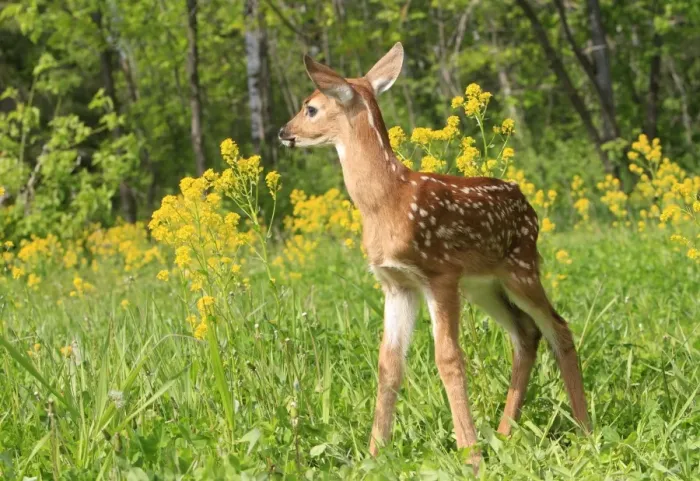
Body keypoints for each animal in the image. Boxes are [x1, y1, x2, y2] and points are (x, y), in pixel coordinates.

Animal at [278, 43, 590, 469]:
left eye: (310, 108)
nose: (283, 132)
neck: (388, 200)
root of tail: (529, 205)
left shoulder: (439, 273)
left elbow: (449, 360)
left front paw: (471, 457)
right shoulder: (396, 284)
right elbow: (389, 364)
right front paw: (375, 453)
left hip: (521, 268)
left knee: (558, 327)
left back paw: (585, 430)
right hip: (483, 285)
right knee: (526, 333)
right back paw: (504, 433)